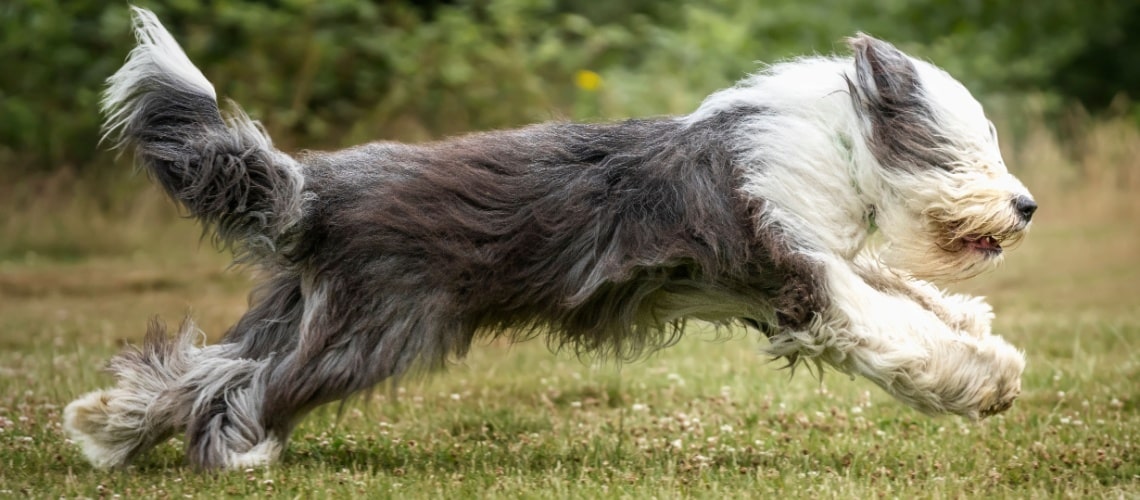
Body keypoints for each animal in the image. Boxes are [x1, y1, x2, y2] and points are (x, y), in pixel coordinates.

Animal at [66, 6, 1039, 469]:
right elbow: (890, 327)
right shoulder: (798, 272)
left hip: (300, 307)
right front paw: (985, 379)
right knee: (250, 386)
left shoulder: (825, 256)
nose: (1027, 206)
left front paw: (980, 332)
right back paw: (237, 455)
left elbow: (906, 293)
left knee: (198, 366)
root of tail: (320, 188)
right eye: (963, 147)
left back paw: (106, 428)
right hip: (376, 328)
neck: (836, 143)